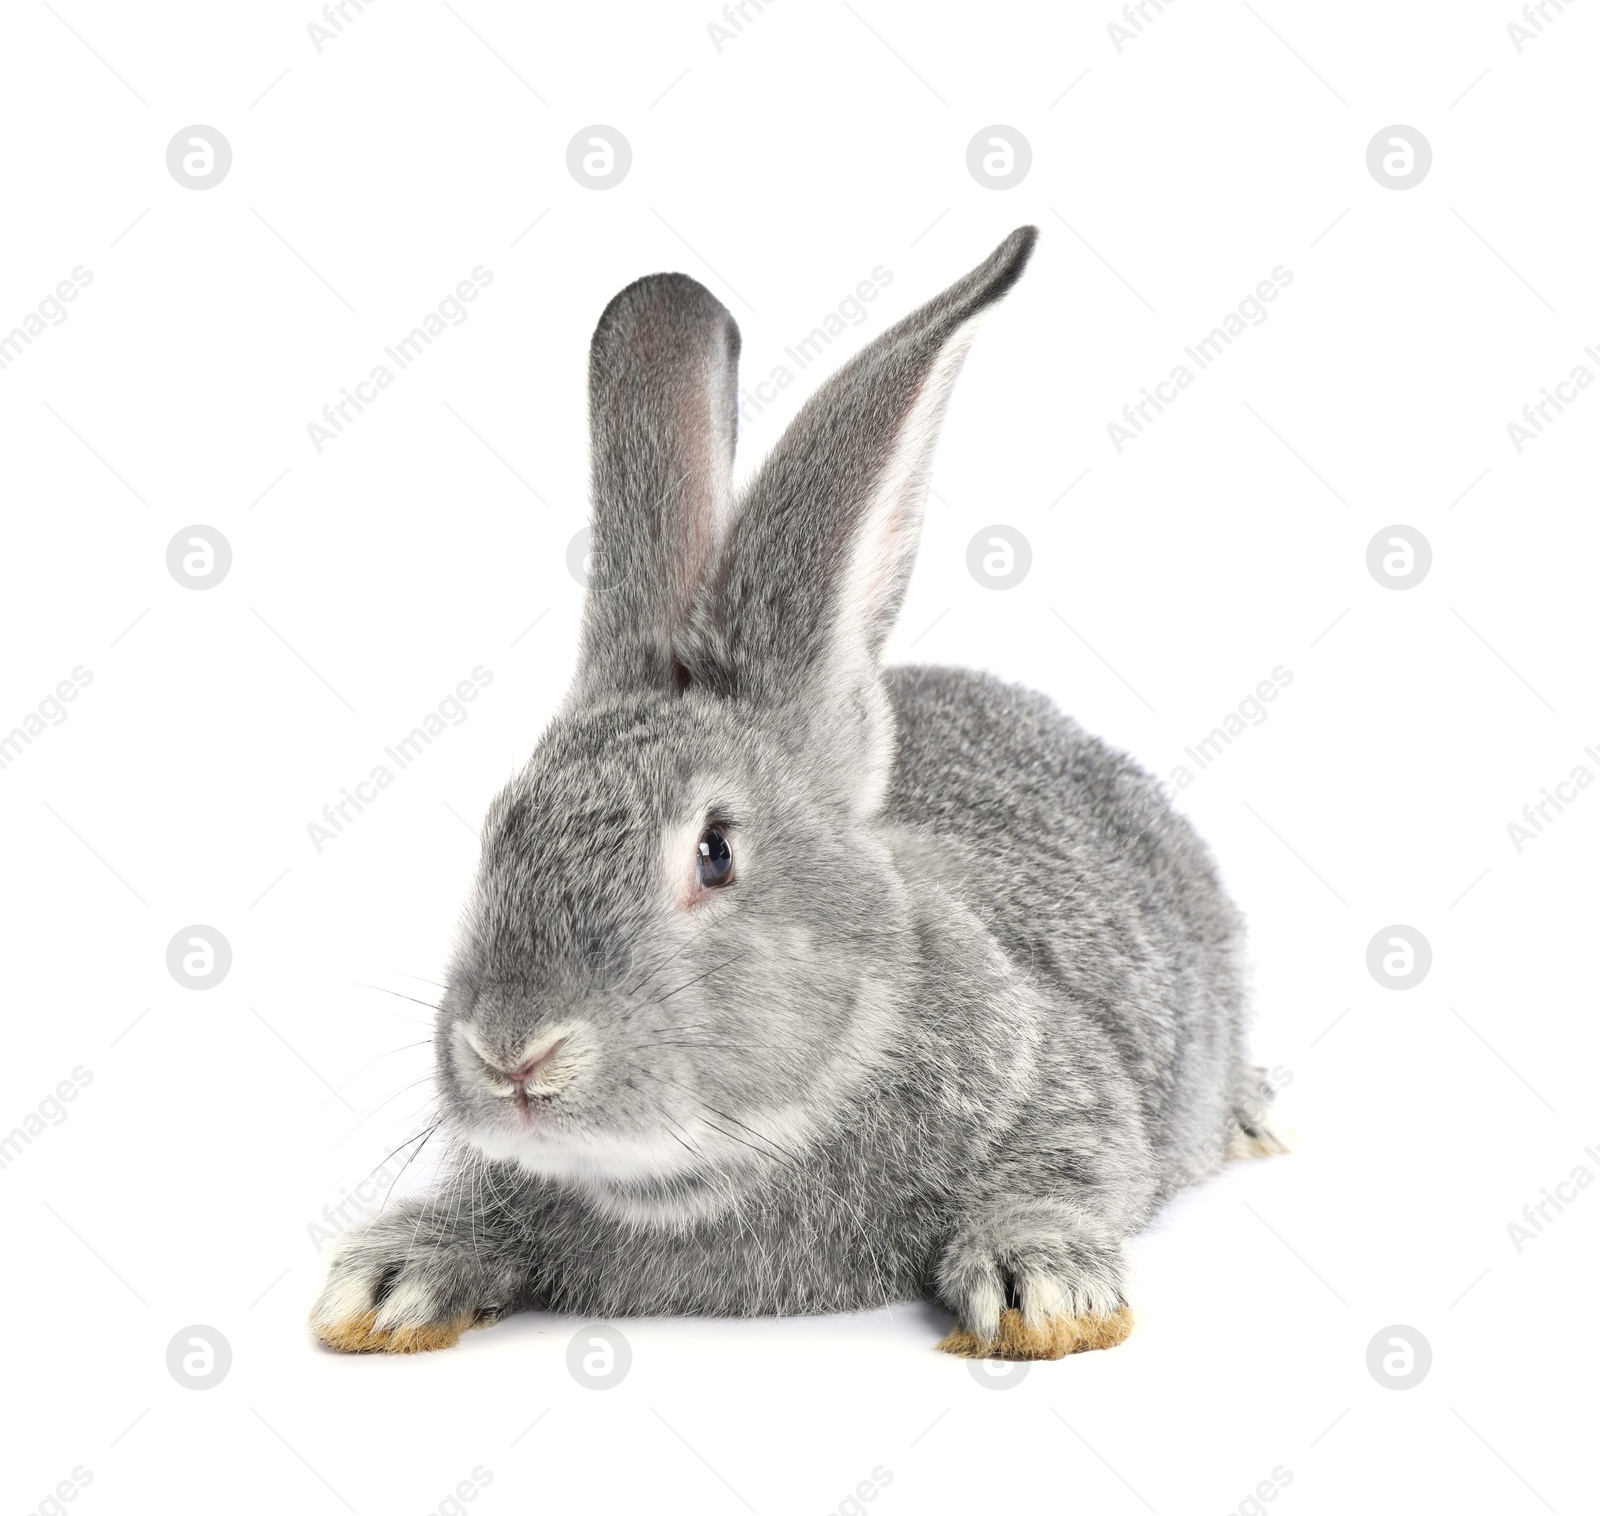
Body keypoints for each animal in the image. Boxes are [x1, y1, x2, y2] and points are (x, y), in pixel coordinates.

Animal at [308, 225, 1286, 1362]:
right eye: (497, 832)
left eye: (715, 851)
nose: (513, 1052)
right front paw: (391, 1280)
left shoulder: (1071, 1098)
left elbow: (1062, 1181)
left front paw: (1042, 1291)